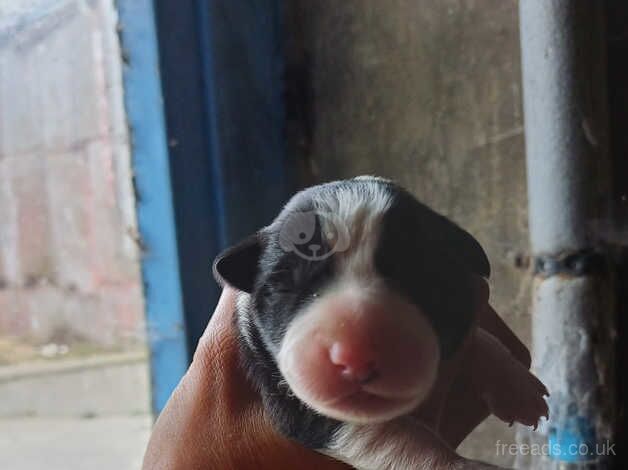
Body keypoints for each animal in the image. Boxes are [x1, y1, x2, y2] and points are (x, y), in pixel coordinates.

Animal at [213, 177, 548, 470]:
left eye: (421, 274)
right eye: (285, 286)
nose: (355, 355)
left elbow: (477, 338)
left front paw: (514, 384)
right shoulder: (290, 400)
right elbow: (391, 437)